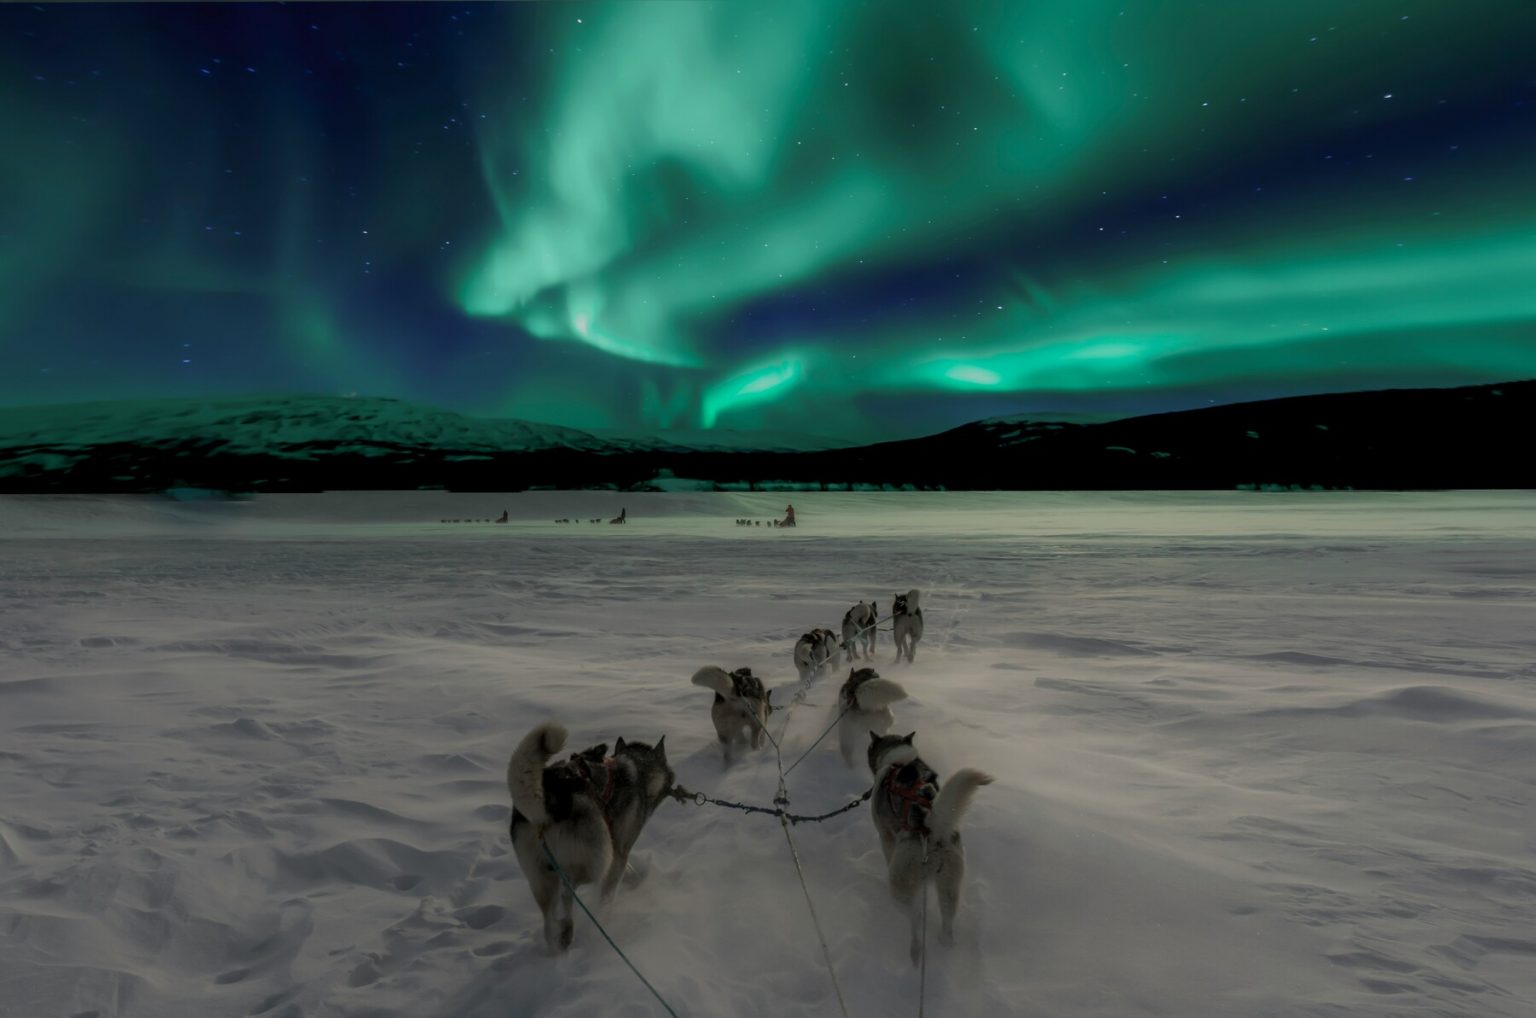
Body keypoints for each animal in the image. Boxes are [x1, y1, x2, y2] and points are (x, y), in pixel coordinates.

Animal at [509, 721, 672, 951]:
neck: (637, 770)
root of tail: (549, 795)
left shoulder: (617, 847)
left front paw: (634, 878)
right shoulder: (618, 852)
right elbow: (609, 894)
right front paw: (606, 915)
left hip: (540, 876)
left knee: (549, 919)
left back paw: (560, 937)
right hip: (597, 859)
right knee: (567, 893)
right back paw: (568, 927)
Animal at [866, 733, 995, 964]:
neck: (899, 759)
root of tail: (933, 831)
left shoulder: (886, 836)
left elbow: (887, 853)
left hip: (901, 888)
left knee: (915, 918)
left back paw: (916, 951)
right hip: (950, 887)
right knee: (947, 922)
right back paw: (944, 942)